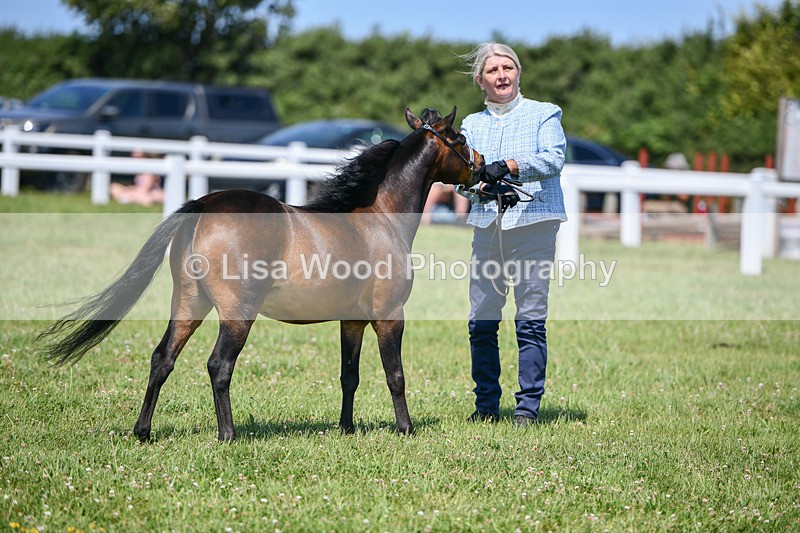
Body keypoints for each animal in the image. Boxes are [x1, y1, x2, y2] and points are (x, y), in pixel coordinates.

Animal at [38, 107, 484, 441]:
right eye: (461, 140)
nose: (483, 167)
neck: (381, 218)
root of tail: (203, 203)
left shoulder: (352, 321)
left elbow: (349, 376)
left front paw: (346, 428)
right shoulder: (389, 316)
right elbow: (395, 375)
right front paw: (406, 428)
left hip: (188, 304)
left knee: (162, 358)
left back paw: (143, 431)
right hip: (237, 314)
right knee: (218, 365)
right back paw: (228, 434)